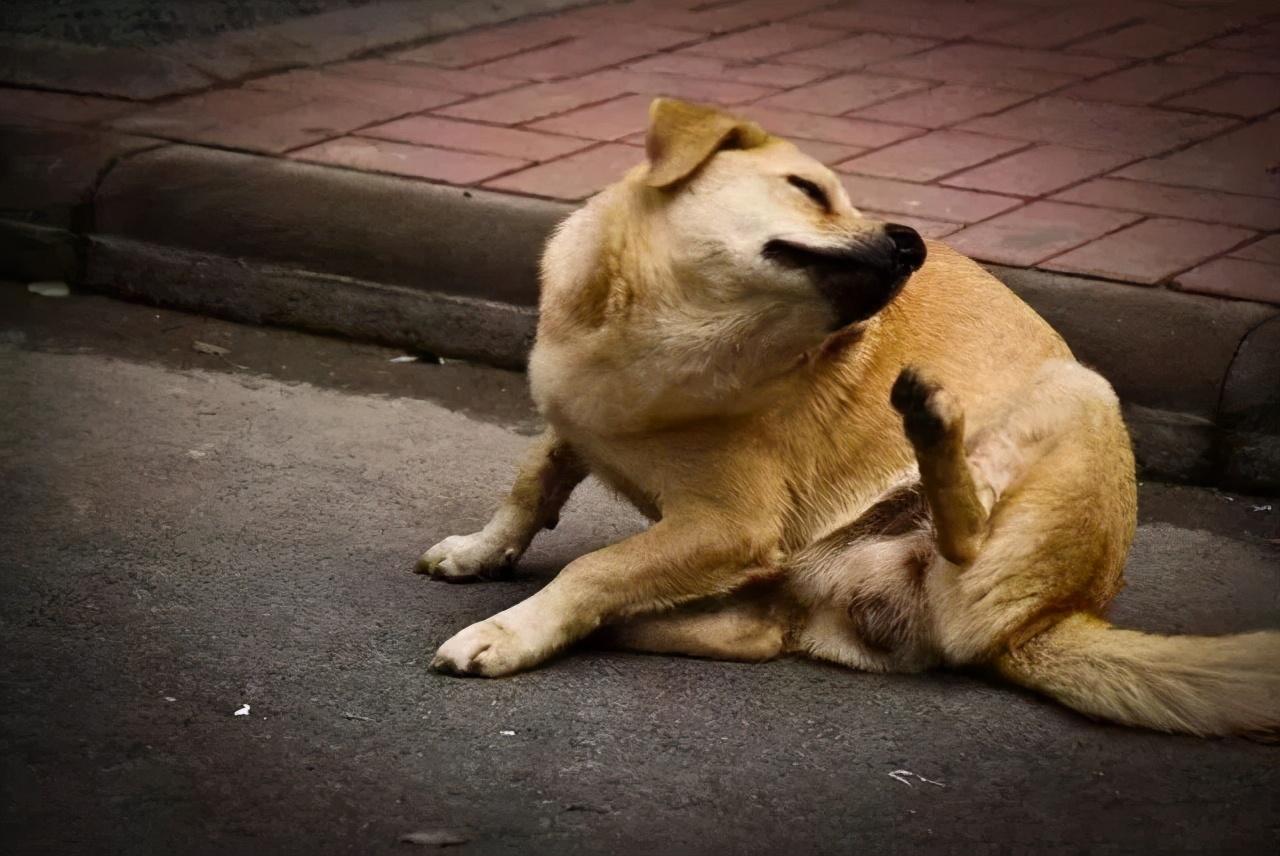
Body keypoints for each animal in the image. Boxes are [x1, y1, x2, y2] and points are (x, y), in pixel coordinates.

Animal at [419, 95, 1280, 737]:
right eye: (809, 190)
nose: (913, 242)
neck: (650, 336)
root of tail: (1047, 620)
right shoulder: (581, 433)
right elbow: (533, 479)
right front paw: (482, 551)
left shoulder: (729, 524)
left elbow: (592, 567)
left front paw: (512, 630)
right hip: (791, 582)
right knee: (756, 630)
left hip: (1078, 394)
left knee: (966, 543)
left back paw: (934, 428)